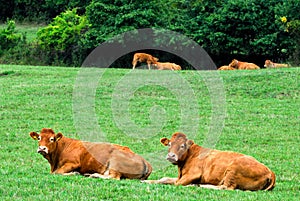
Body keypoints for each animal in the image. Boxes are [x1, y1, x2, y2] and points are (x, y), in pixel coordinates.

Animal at [144, 133, 276, 191]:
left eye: (182, 146)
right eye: (169, 144)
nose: (171, 156)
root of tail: (270, 172)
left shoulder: (192, 174)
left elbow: (175, 183)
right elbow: (164, 178)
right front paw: (146, 180)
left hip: (233, 170)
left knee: (225, 187)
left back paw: (198, 185)